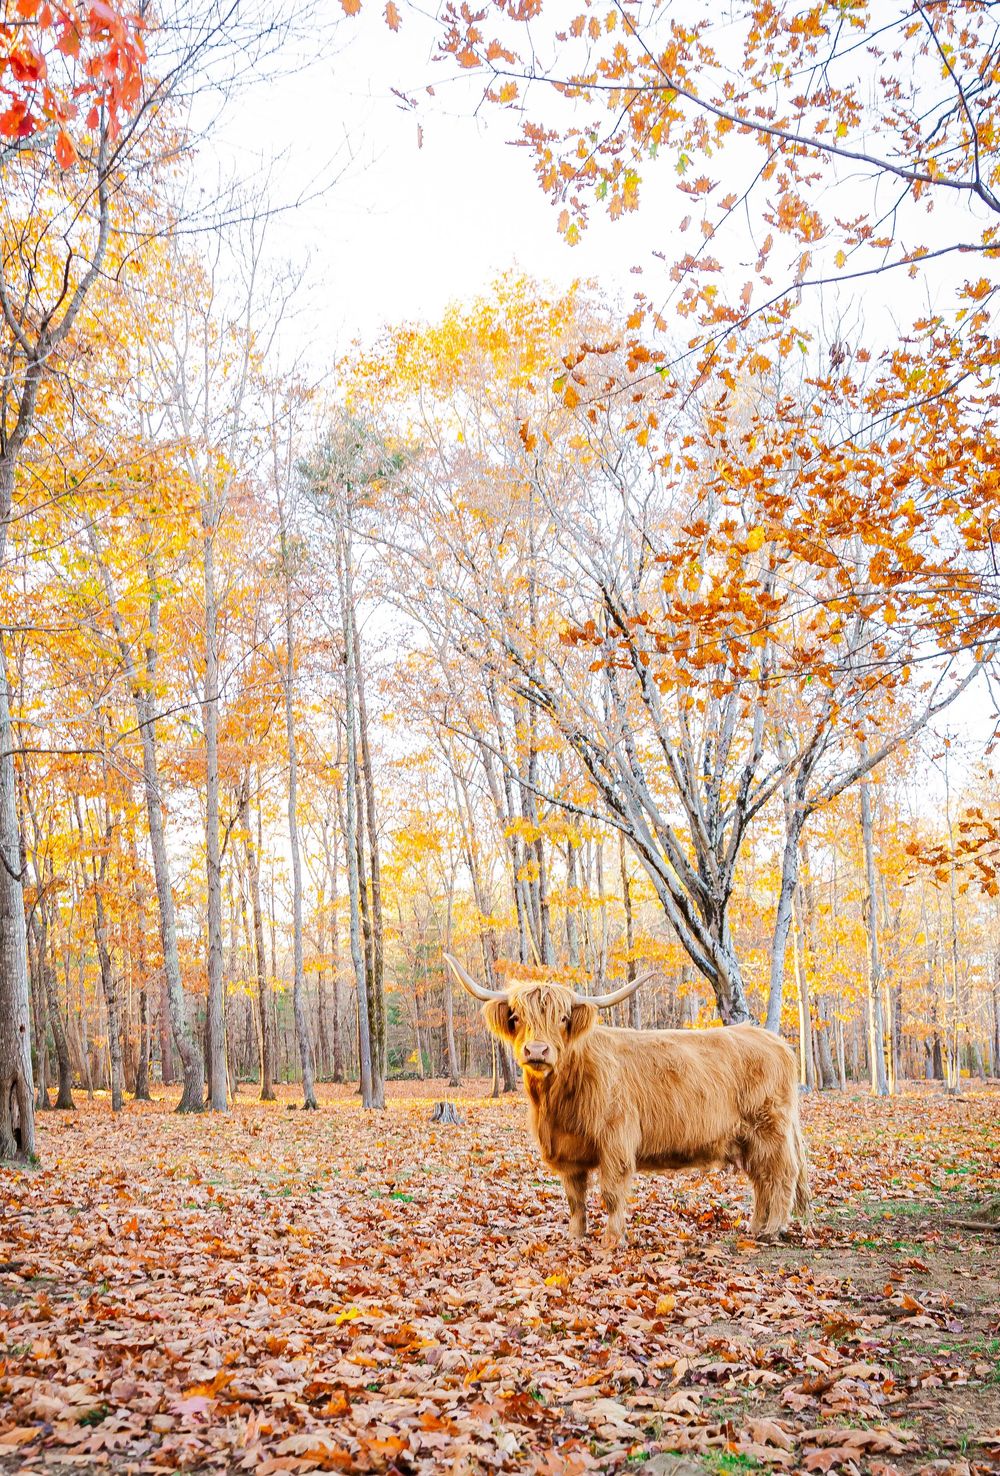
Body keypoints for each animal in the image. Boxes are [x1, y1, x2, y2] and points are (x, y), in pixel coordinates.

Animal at [444, 954, 811, 1249]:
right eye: (517, 1017)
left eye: (562, 1018)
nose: (536, 1051)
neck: (557, 1101)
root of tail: (776, 1042)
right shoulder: (567, 1151)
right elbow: (575, 1197)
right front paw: (575, 1236)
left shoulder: (615, 1139)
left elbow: (611, 1193)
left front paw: (612, 1239)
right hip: (748, 1138)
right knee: (761, 1180)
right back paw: (755, 1227)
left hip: (771, 1129)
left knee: (781, 1175)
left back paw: (771, 1230)